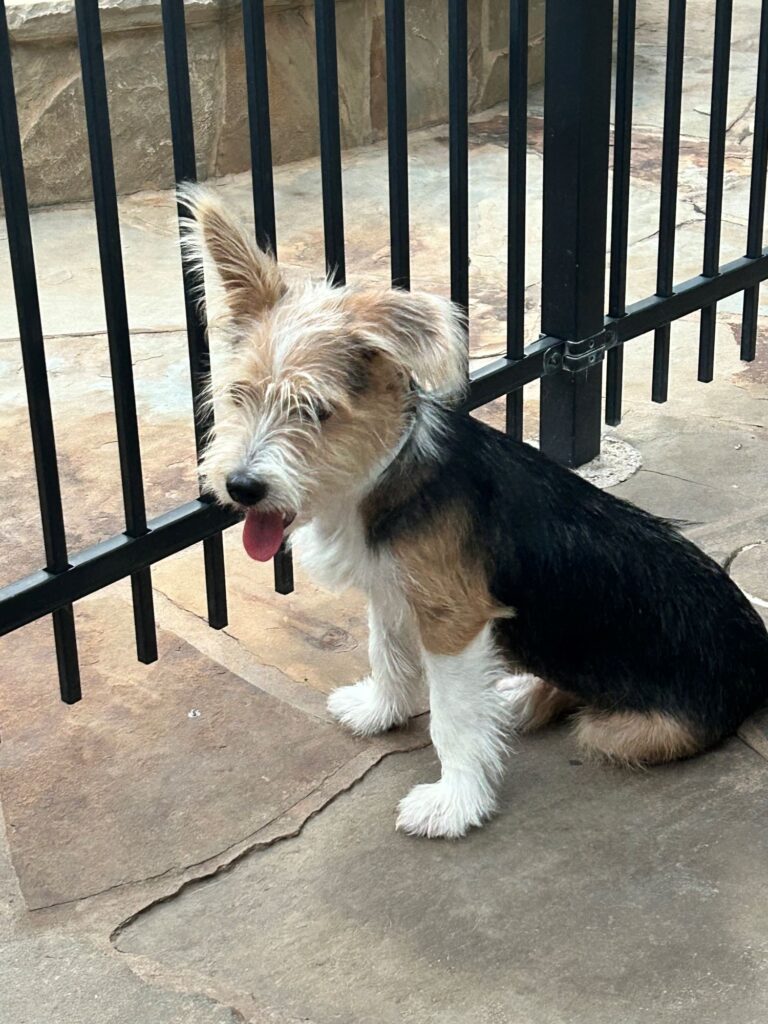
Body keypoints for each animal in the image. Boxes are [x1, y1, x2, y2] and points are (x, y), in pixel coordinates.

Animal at [181, 184, 768, 839]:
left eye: (314, 410)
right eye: (238, 396)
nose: (241, 487)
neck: (380, 479)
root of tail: (760, 653)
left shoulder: (452, 619)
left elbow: (452, 720)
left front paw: (455, 802)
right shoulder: (393, 590)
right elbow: (387, 653)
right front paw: (380, 710)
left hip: (629, 729)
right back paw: (516, 695)